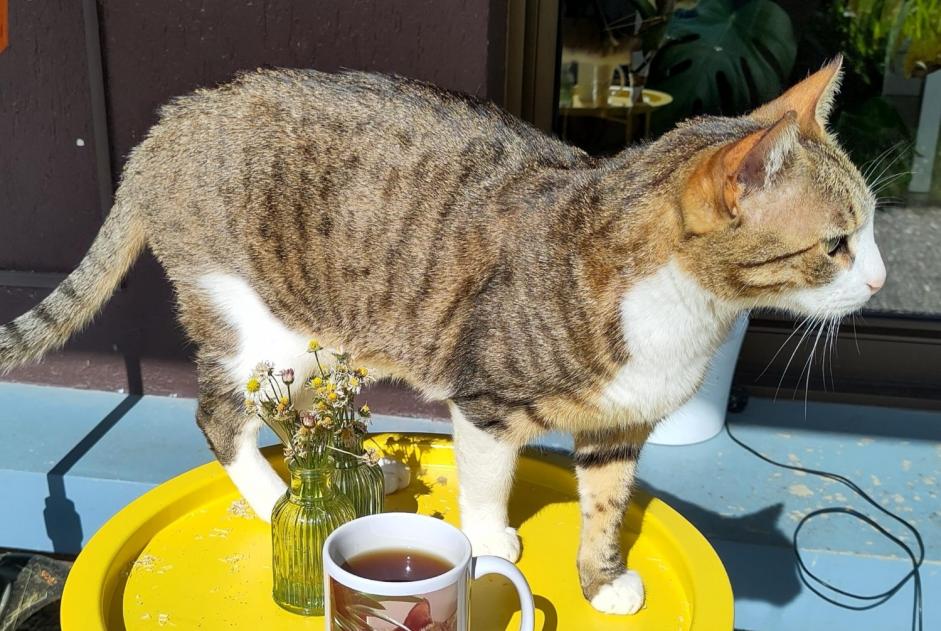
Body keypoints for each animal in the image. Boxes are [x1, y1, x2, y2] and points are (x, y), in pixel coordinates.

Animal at [0, 56, 880, 616]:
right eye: (836, 243)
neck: (684, 313)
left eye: (869, 230)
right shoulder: (485, 398)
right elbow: (489, 477)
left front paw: (600, 581)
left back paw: (364, 472)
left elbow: (605, 506)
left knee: (312, 420)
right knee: (220, 419)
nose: (876, 281)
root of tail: (166, 125)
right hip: (261, 329)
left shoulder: (620, 427)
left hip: (323, 342)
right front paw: (488, 538)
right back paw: (286, 498)